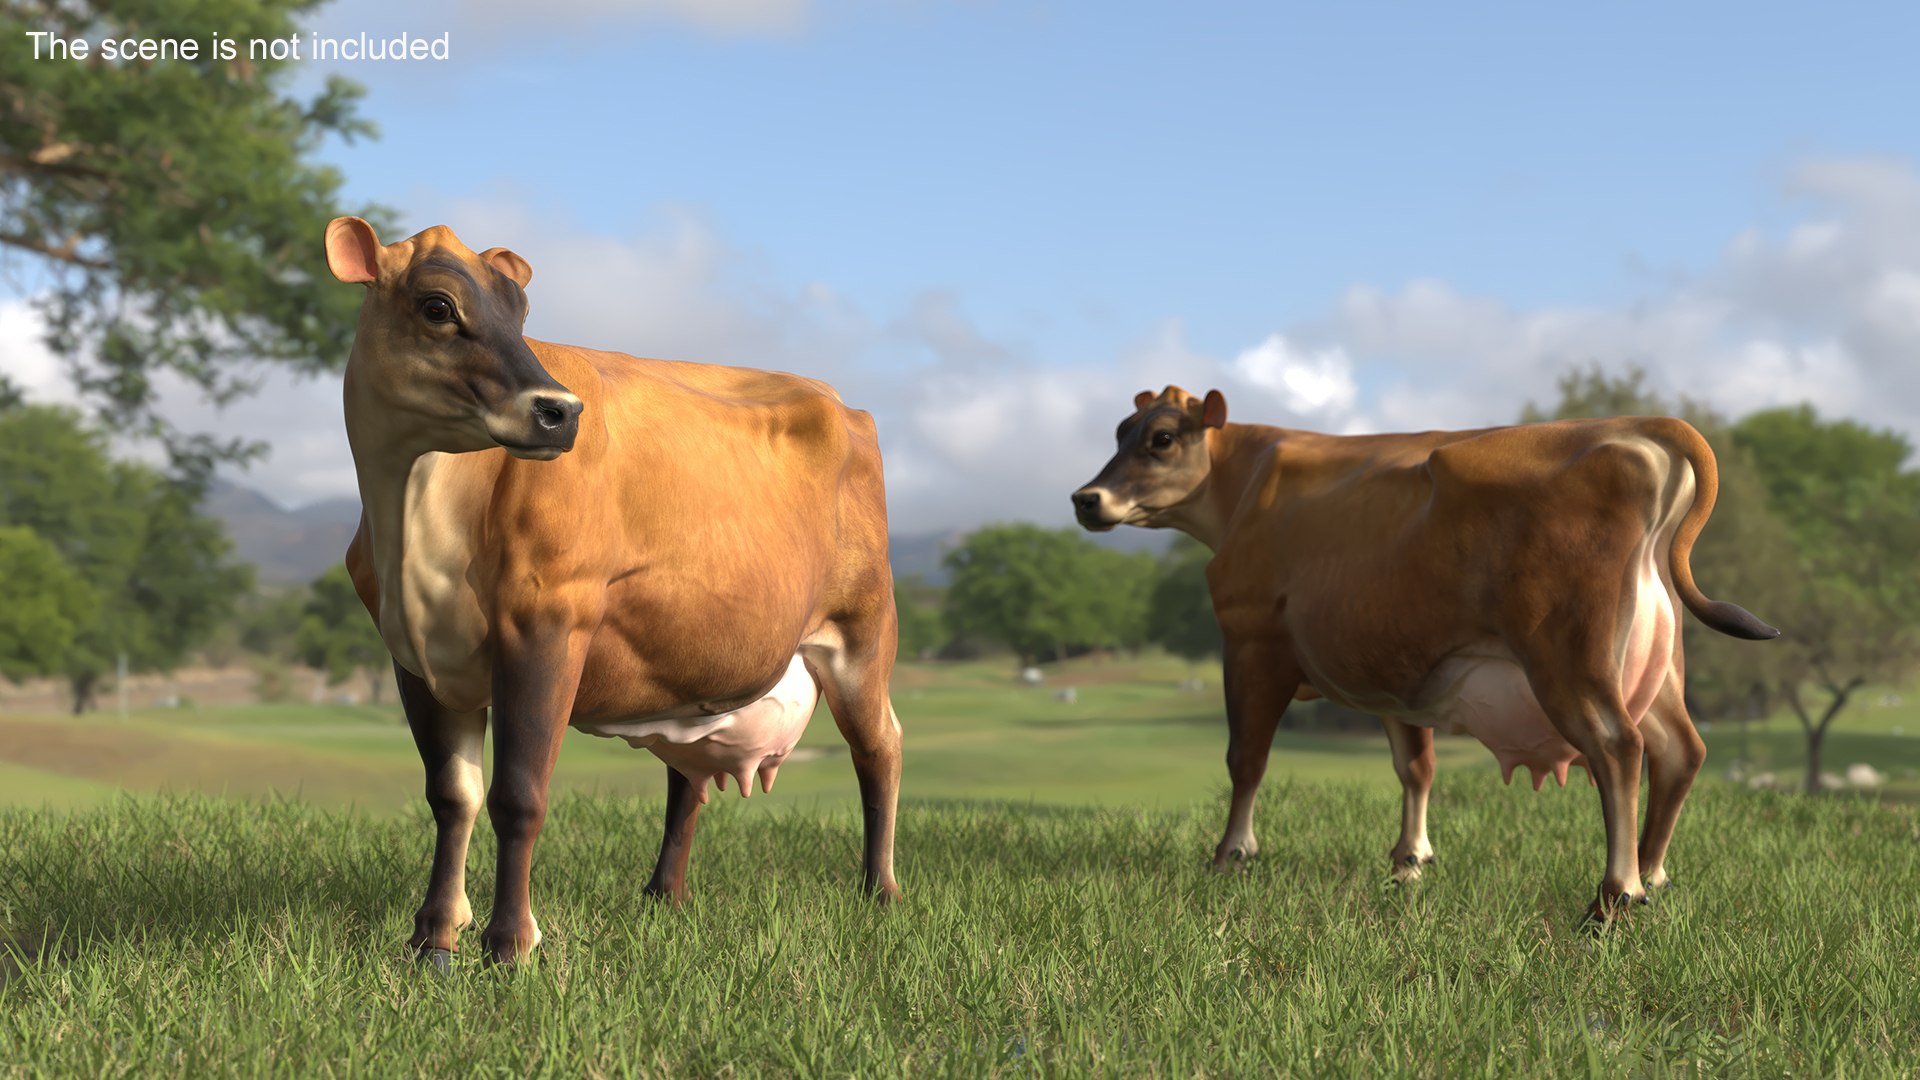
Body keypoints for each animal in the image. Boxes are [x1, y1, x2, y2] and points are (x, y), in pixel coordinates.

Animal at [323, 217, 903, 966]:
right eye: (437, 306)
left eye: (520, 311)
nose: (559, 411)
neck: (414, 527)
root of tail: (840, 400)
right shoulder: (412, 655)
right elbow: (453, 797)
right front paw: (432, 939)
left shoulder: (546, 621)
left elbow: (519, 795)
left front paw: (509, 945)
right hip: (695, 658)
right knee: (687, 776)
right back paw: (663, 897)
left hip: (863, 628)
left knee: (879, 748)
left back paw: (879, 893)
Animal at [1070, 386, 1778, 922]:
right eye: (1120, 431)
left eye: (1163, 438)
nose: (1085, 498)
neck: (1247, 485)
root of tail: (1630, 428)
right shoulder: (1392, 673)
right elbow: (1416, 767)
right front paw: (1410, 862)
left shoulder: (1250, 644)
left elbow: (1246, 760)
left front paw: (1230, 855)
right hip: (1655, 667)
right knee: (1681, 750)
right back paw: (1653, 876)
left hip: (1571, 660)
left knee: (1618, 748)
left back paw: (1614, 897)